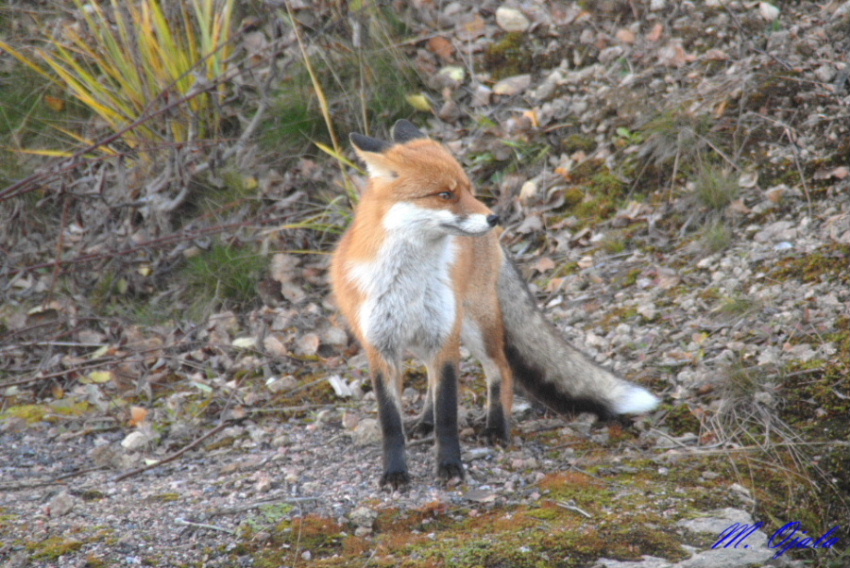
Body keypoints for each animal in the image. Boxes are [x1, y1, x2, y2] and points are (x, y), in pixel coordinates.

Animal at [330, 120, 656, 488]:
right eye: (446, 194)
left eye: (469, 189)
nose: (494, 218)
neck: (410, 282)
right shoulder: (380, 347)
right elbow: (390, 423)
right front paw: (396, 472)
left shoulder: (446, 338)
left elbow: (448, 414)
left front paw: (450, 466)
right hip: (429, 336)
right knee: (431, 378)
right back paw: (425, 422)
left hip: (474, 327)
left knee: (501, 369)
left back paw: (497, 429)